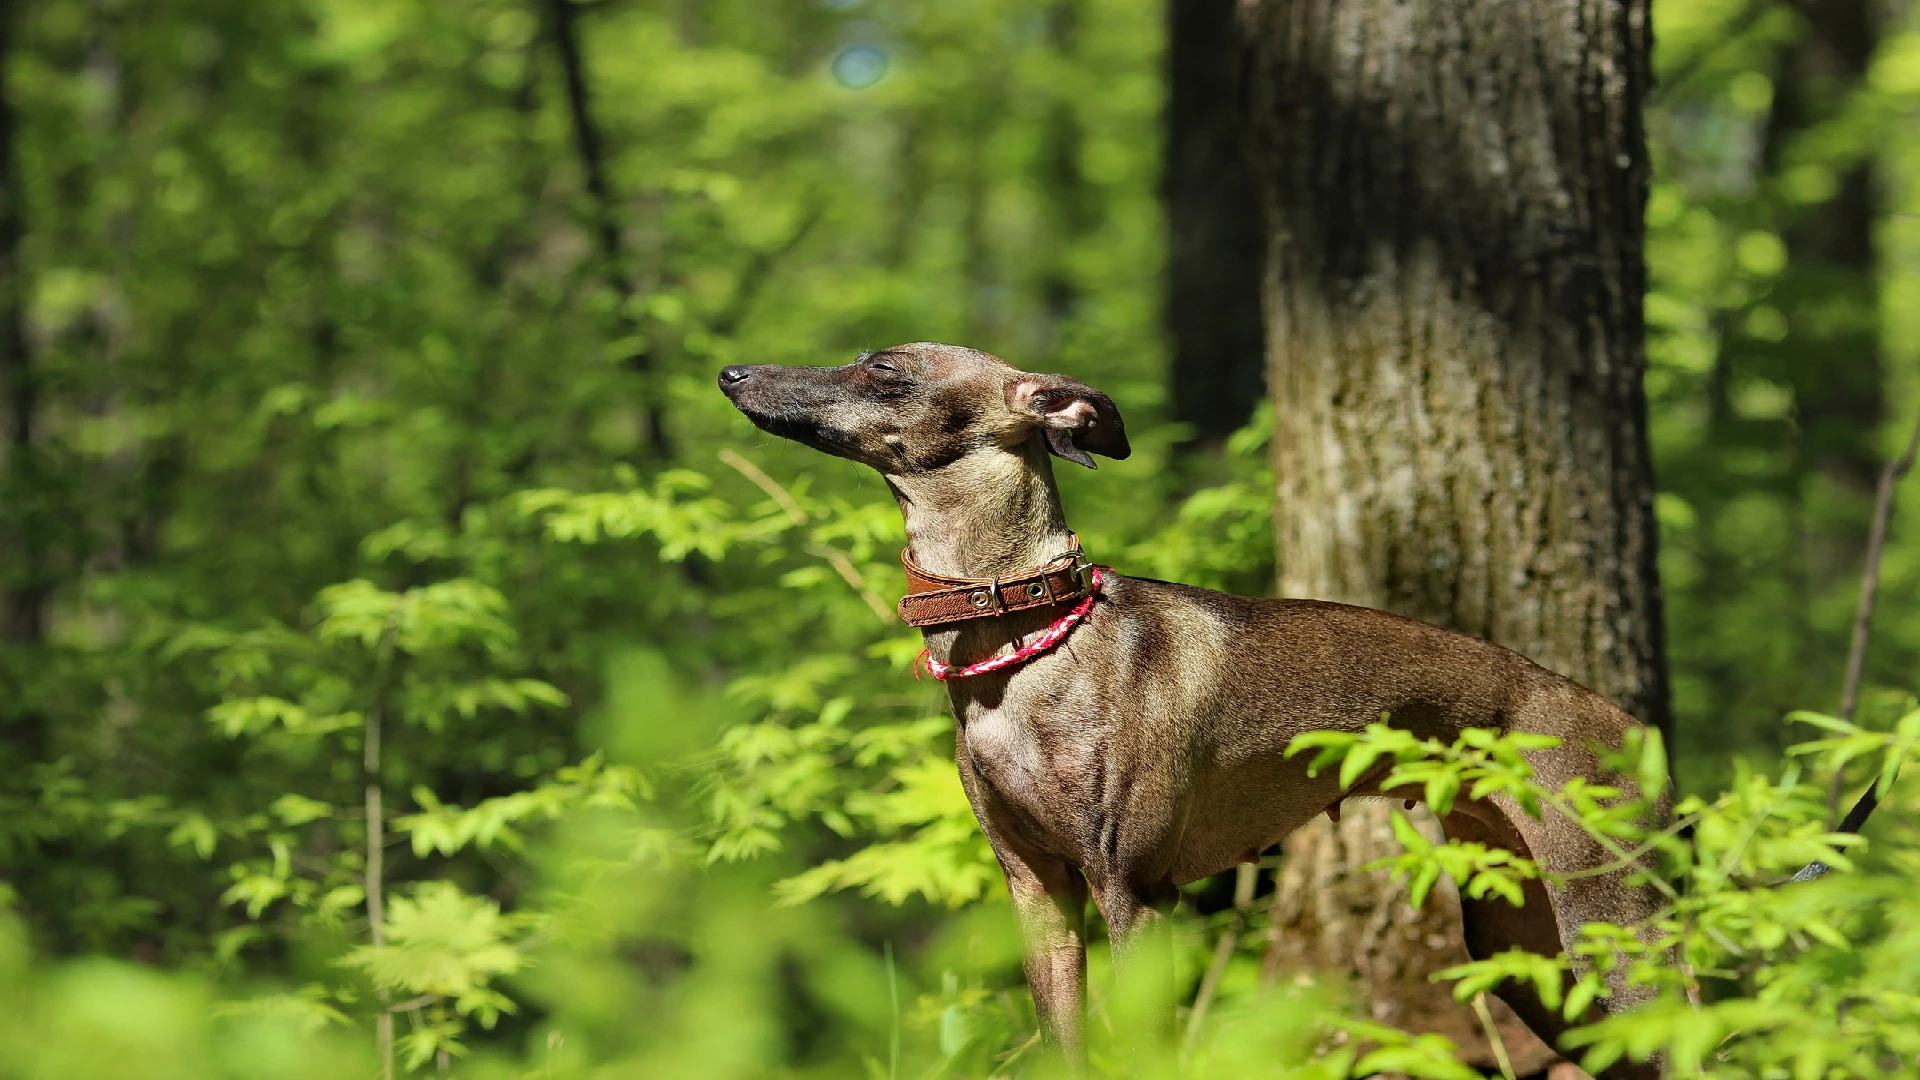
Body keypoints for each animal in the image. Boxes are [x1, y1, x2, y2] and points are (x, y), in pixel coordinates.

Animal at [721, 340, 1666, 1068]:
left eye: (884, 369)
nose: (734, 373)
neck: (1026, 640)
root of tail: (1633, 729)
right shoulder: (1040, 896)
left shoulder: (1136, 894)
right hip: (1525, 949)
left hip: (1609, 931)